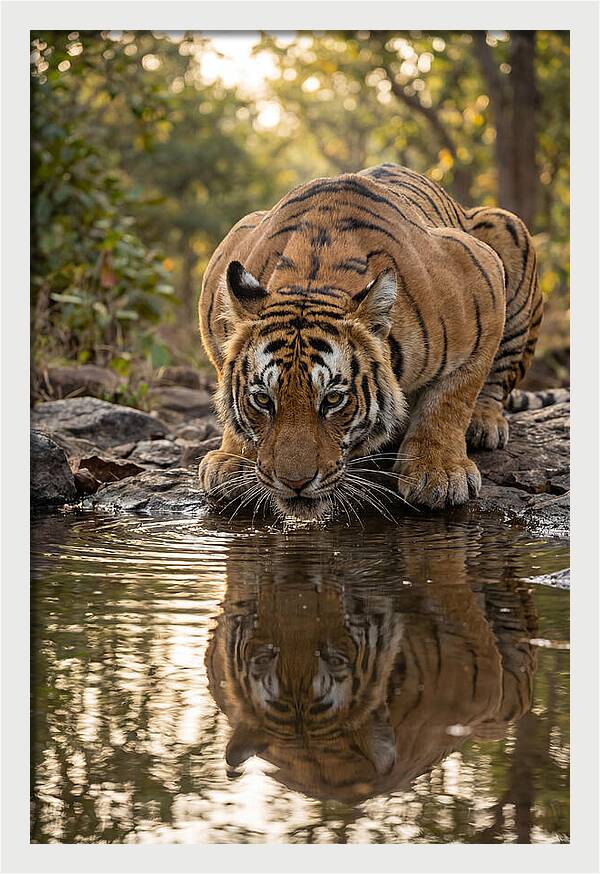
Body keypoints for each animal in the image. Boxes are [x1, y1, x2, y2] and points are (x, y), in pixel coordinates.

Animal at [198, 163, 543, 517]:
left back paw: (484, 424)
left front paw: (439, 472)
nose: (295, 483)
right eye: (263, 400)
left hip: (507, 227)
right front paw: (231, 459)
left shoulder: (482, 279)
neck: (312, 279)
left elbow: (451, 397)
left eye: (333, 400)